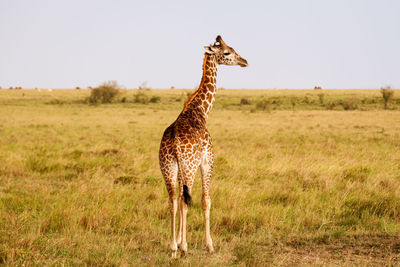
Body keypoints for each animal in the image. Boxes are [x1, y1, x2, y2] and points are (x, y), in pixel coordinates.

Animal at [159, 35, 247, 258]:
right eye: (227, 52)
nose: (244, 61)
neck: (200, 109)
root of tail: (173, 140)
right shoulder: (207, 161)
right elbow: (206, 200)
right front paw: (209, 245)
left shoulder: (181, 168)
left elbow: (183, 198)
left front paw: (179, 240)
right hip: (189, 167)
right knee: (184, 201)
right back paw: (182, 247)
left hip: (168, 168)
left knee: (173, 199)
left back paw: (173, 248)